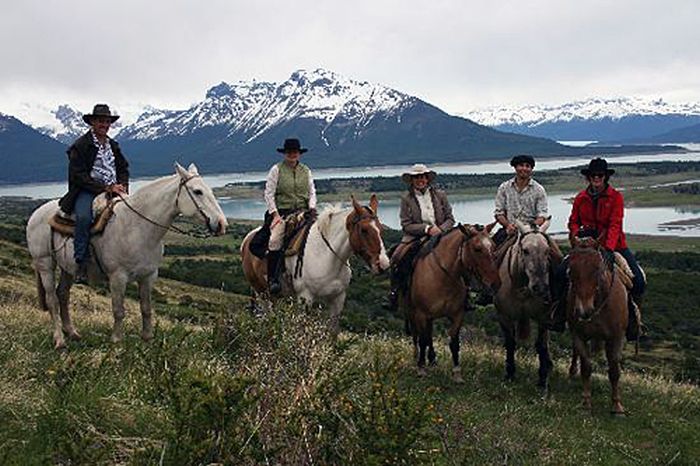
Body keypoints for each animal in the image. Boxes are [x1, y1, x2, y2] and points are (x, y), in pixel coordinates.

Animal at [26, 162, 228, 348]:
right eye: (197, 191)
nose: (221, 224)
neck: (137, 227)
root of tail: (36, 214)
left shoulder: (148, 276)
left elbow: (146, 308)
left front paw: (147, 339)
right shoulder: (118, 277)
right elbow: (118, 310)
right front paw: (117, 340)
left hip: (68, 268)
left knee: (63, 295)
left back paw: (72, 332)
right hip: (45, 264)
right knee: (52, 299)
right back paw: (60, 340)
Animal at [241, 195, 392, 334]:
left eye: (381, 229)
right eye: (364, 230)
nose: (383, 264)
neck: (326, 256)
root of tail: (247, 238)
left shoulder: (338, 299)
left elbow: (332, 333)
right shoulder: (305, 298)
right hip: (262, 293)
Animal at [402, 223, 500, 382]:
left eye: (493, 247)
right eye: (477, 249)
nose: (496, 284)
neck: (443, 276)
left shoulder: (457, 315)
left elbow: (454, 343)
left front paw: (457, 372)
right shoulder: (421, 314)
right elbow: (422, 340)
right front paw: (421, 368)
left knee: (428, 335)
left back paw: (432, 359)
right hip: (412, 313)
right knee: (418, 336)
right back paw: (417, 357)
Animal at [492, 219, 564, 394]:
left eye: (547, 251)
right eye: (525, 250)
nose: (540, 287)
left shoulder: (544, 317)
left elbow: (541, 346)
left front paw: (543, 381)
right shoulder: (504, 316)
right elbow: (510, 342)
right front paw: (510, 374)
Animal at [568, 238, 628, 414]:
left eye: (597, 268)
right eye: (570, 269)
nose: (583, 310)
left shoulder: (616, 338)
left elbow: (614, 370)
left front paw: (617, 406)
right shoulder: (578, 335)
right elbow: (586, 367)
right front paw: (586, 402)